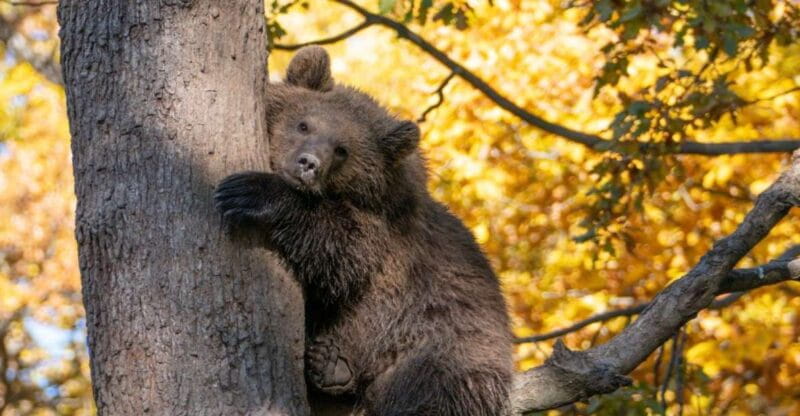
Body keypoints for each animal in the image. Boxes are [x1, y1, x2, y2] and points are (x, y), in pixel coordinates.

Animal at [214, 46, 513, 416]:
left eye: (342, 149)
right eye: (304, 124)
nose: (308, 163)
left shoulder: (384, 235)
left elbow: (343, 251)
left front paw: (250, 191)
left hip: (448, 342)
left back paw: (334, 366)